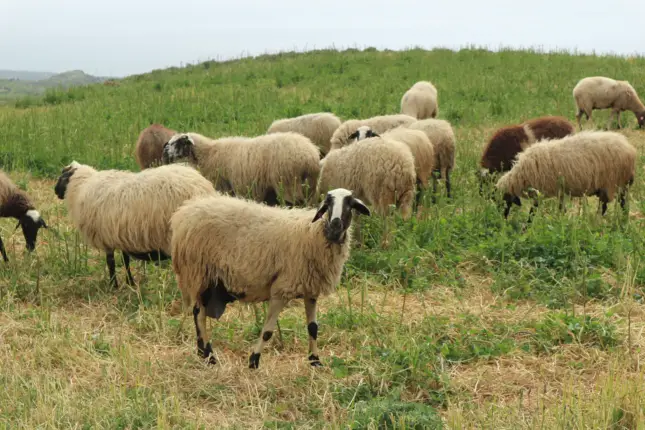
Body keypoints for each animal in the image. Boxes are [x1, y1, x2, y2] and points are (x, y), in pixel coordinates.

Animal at [54, 160, 215, 288]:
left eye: (62, 176)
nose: (55, 192)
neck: (82, 186)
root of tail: (203, 187)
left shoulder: (106, 238)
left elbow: (110, 262)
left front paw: (113, 285)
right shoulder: (121, 235)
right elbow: (125, 260)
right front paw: (130, 282)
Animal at [162, 131, 320, 207]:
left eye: (178, 142)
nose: (164, 153)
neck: (207, 153)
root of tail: (308, 155)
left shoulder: (222, 185)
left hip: (288, 183)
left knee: (294, 203)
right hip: (309, 186)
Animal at [170, 186, 372, 368]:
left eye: (350, 204)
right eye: (328, 204)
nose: (335, 226)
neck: (315, 233)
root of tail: (185, 211)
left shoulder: (310, 291)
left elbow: (313, 328)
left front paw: (315, 361)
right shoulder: (281, 289)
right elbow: (267, 331)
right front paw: (253, 361)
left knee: (199, 312)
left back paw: (202, 352)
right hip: (199, 273)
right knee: (199, 314)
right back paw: (209, 356)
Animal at [496, 129, 636, 220]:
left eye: (502, 201)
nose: (502, 218)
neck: (521, 176)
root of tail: (630, 149)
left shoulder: (540, 191)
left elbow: (533, 211)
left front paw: (527, 227)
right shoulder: (560, 191)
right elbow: (561, 209)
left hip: (612, 182)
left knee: (610, 206)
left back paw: (598, 221)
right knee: (618, 204)